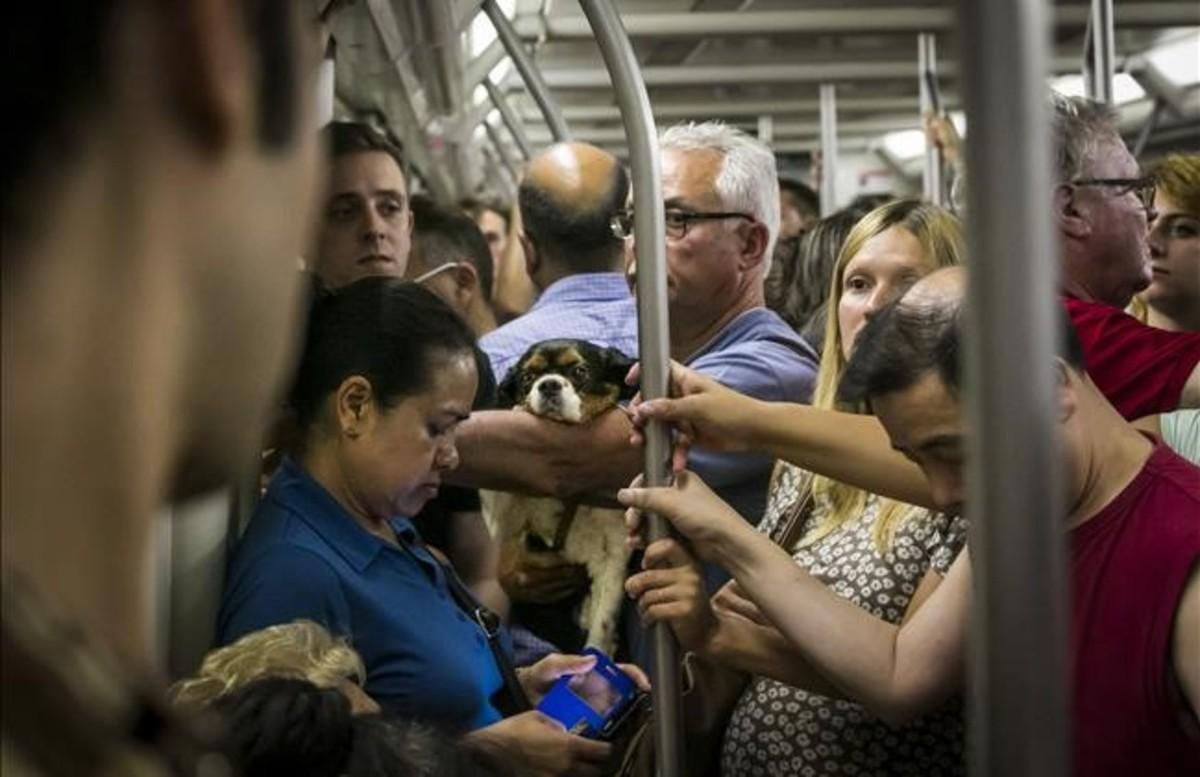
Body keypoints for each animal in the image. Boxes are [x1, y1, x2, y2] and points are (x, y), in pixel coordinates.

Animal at [480, 335, 638, 652]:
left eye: (579, 371)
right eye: (528, 377)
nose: (548, 384)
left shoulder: (613, 553)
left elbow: (602, 625)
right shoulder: (507, 522)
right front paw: (519, 411)